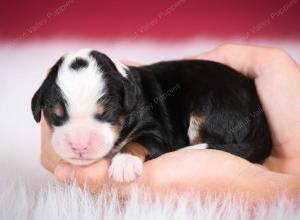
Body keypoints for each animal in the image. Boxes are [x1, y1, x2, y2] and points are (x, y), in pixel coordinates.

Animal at [31, 49, 274, 182]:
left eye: (106, 113)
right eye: (55, 115)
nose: (79, 146)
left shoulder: (156, 130)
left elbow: (141, 140)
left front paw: (125, 163)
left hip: (210, 107)